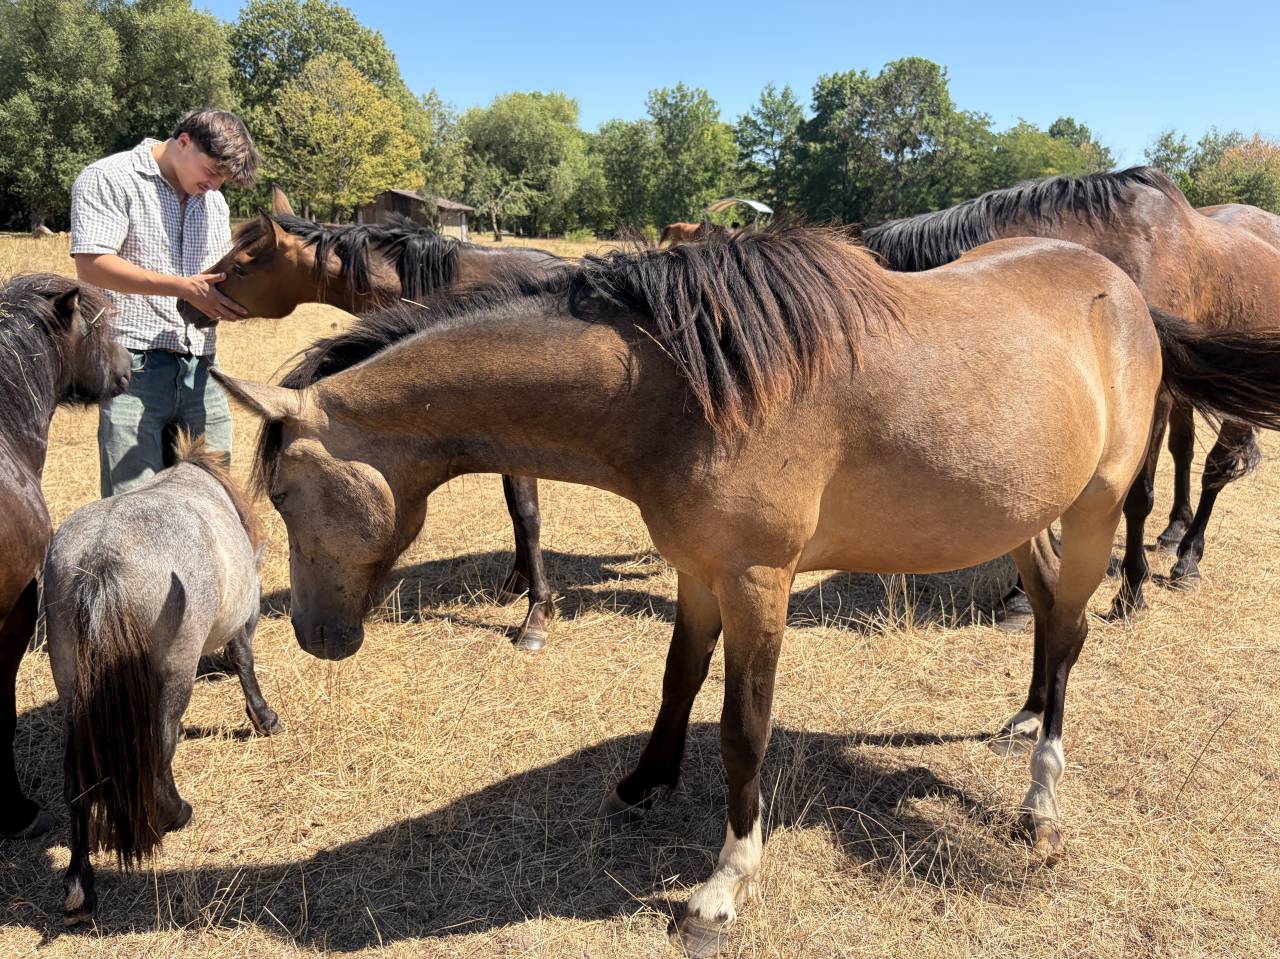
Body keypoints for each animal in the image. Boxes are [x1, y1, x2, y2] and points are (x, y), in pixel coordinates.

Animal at [43, 432, 278, 923]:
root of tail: (103, 558)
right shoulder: (244, 616)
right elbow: (244, 660)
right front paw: (264, 718)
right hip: (175, 669)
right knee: (160, 742)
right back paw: (175, 814)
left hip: (71, 682)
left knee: (76, 771)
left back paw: (79, 882)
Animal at [176, 188, 565, 650]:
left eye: (239, 266)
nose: (186, 300)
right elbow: (516, 515)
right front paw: (515, 585)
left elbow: (527, 515)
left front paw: (536, 613)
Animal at [213, 225, 1280, 956]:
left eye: (286, 493)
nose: (315, 635)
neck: (681, 390)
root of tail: (1126, 292)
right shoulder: (697, 570)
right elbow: (677, 681)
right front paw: (644, 780)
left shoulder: (758, 582)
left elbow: (742, 726)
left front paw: (725, 881)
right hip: (1023, 515)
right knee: (1051, 612)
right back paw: (1018, 718)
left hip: (1099, 509)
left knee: (1071, 636)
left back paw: (1042, 795)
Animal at [862, 167, 1280, 613]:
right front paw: (1023, 596)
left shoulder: (1150, 403)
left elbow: (1137, 497)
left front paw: (1130, 592)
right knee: (1185, 453)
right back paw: (1173, 533)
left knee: (1216, 470)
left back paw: (1188, 559)